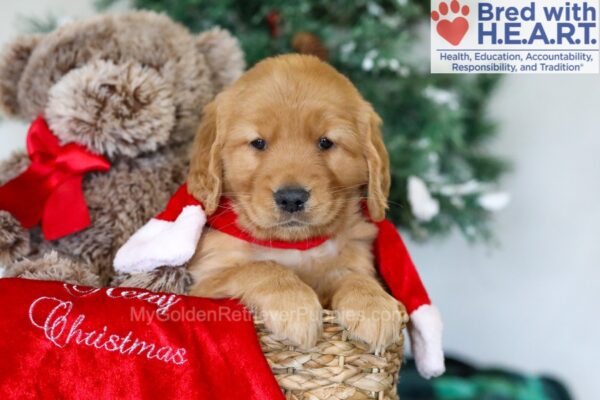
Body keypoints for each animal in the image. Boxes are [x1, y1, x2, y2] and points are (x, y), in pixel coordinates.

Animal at [188, 54, 404, 350]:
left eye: (325, 142)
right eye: (258, 143)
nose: (291, 198)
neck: (293, 245)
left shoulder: (352, 257)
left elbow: (353, 276)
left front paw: (373, 305)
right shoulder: (205, 283)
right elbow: (260, 267)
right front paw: (295, 306)